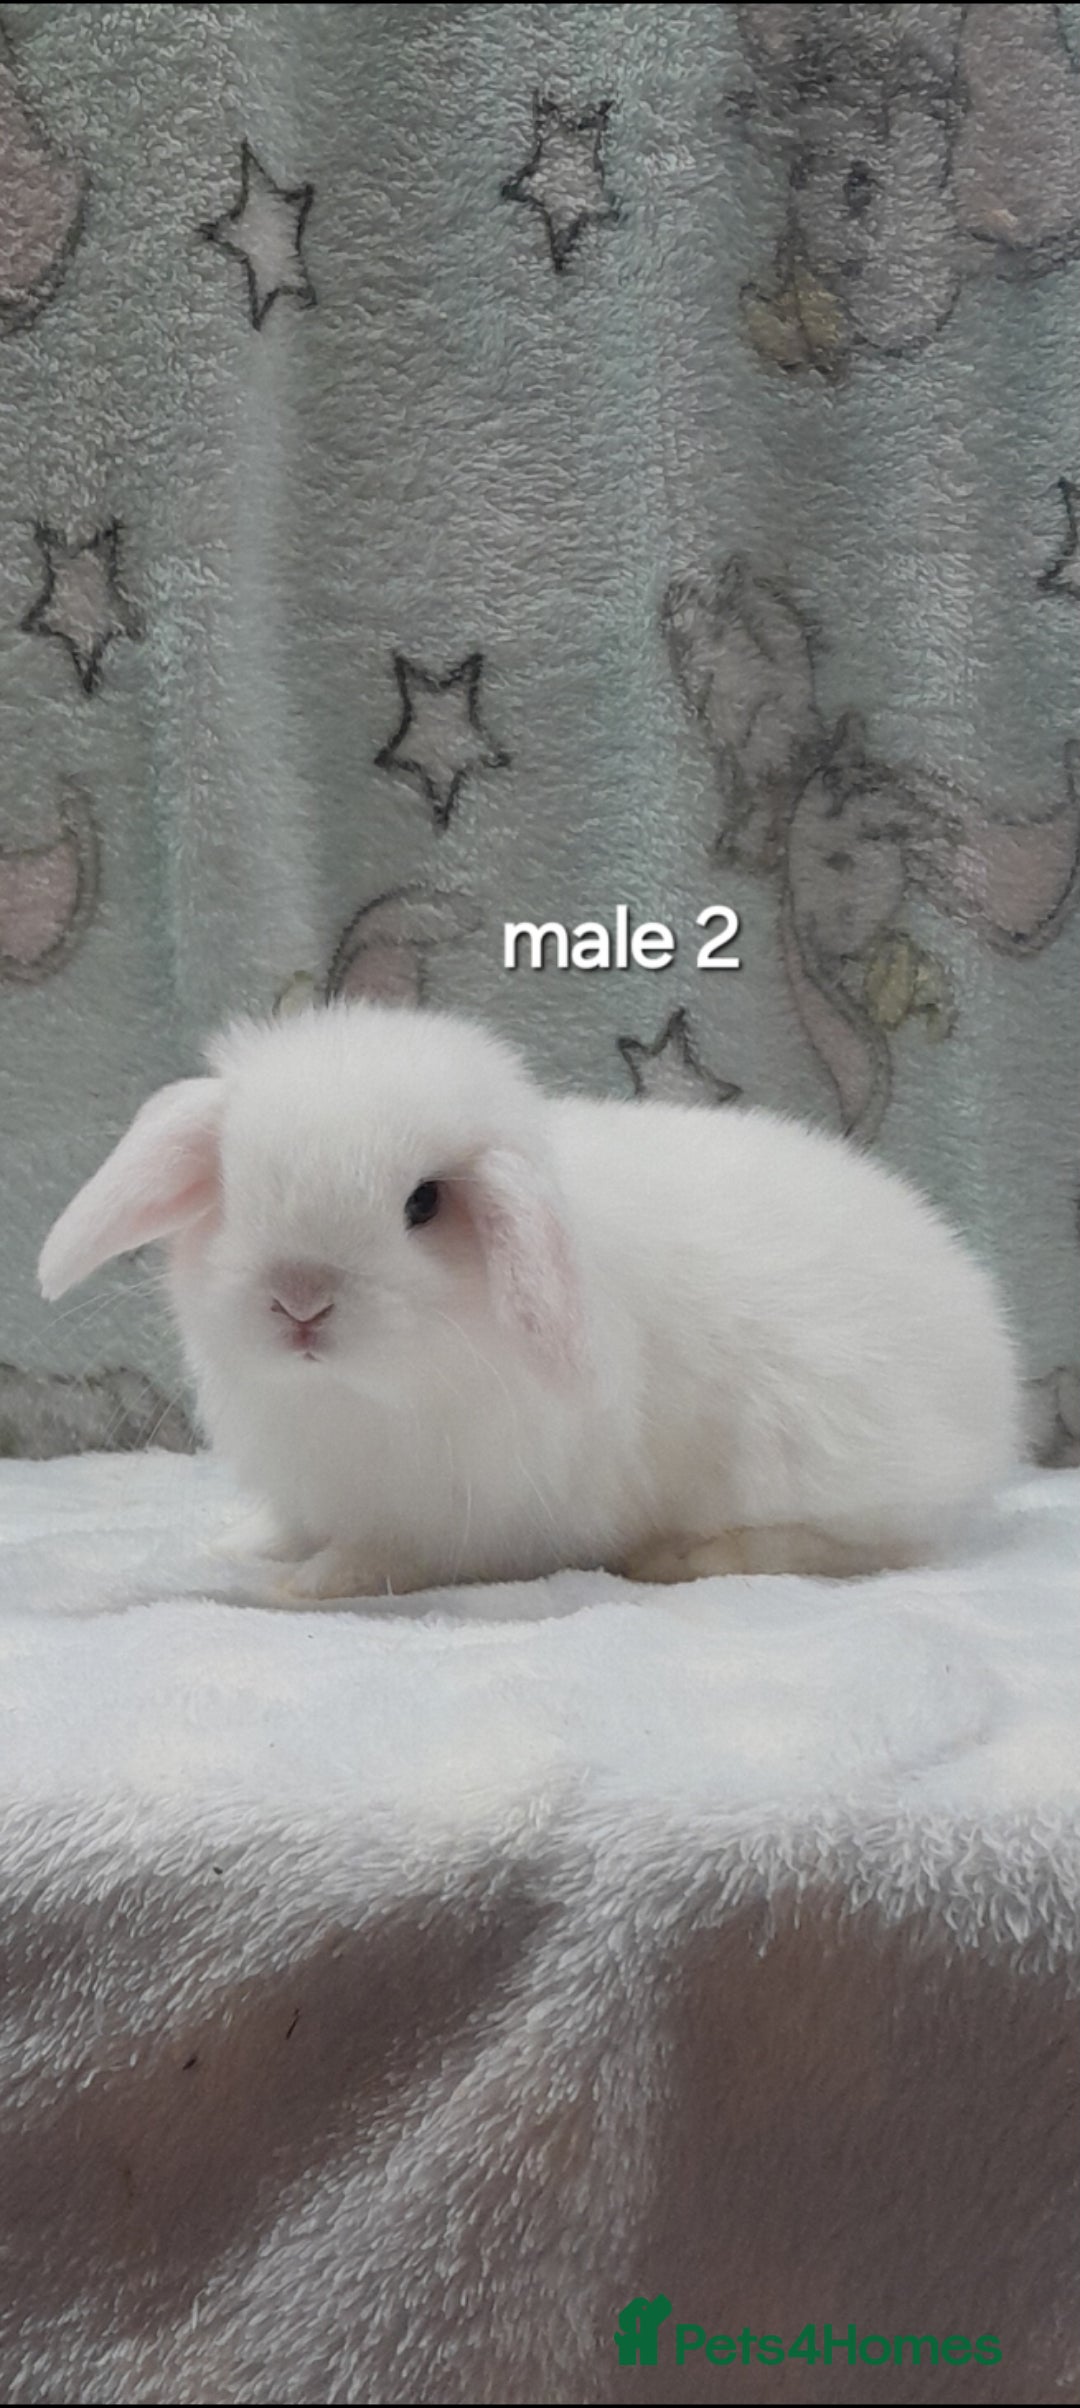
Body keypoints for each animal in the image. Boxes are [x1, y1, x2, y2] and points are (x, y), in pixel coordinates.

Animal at [37, 1001, 1021, 1600]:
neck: (354, 1397)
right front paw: (237, 1546)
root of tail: (991, 1366)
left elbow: (378, 1558)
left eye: (423, 1203)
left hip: (815, 1451)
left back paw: (680, 1558)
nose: (300, 1299)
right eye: (234, 1189)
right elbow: (285, 1525)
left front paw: (301, 1585)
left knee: (862, 1547)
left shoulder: (456, 1524)